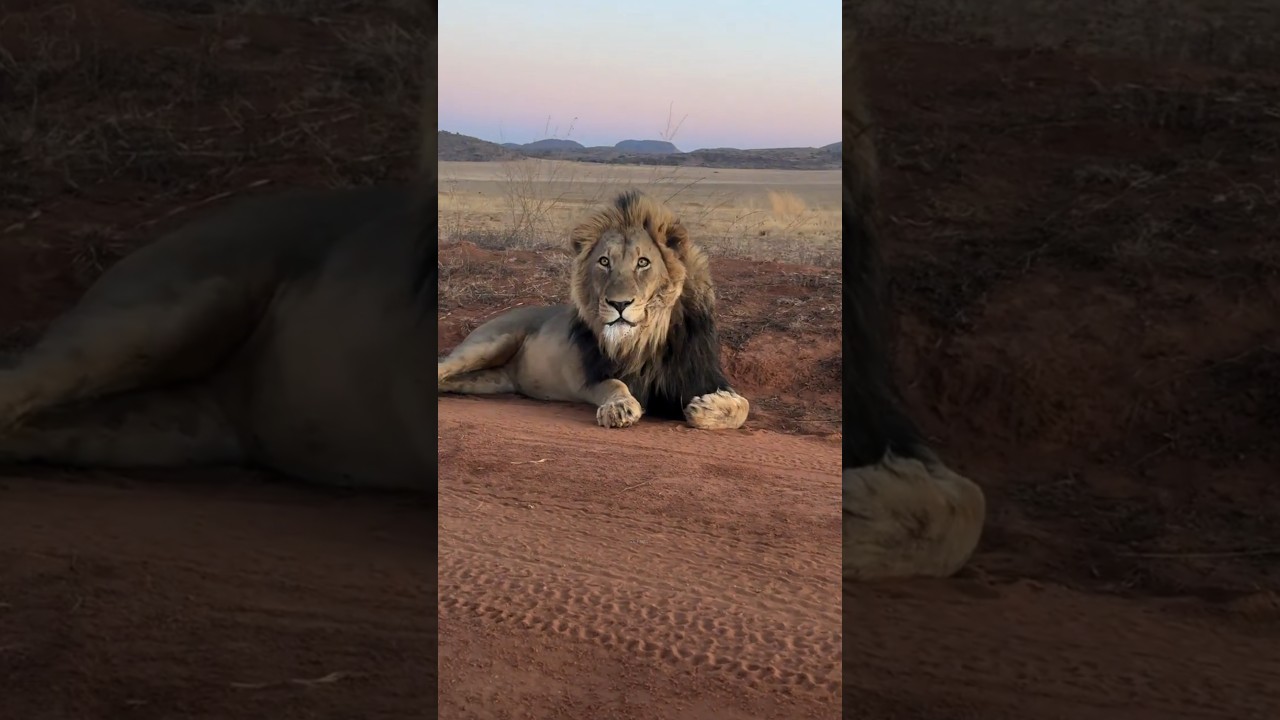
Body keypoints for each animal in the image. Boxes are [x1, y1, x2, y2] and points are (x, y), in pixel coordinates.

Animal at [437, 190, 750, 431]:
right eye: (604, 262)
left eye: (643, 263)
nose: (619, 304)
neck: (647, 337)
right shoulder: (593, 376)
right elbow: (615, 385)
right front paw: (620, 408)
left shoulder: (700, 375)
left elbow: (743, 405)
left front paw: (708, 408)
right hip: (489, 344)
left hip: (487, 380)